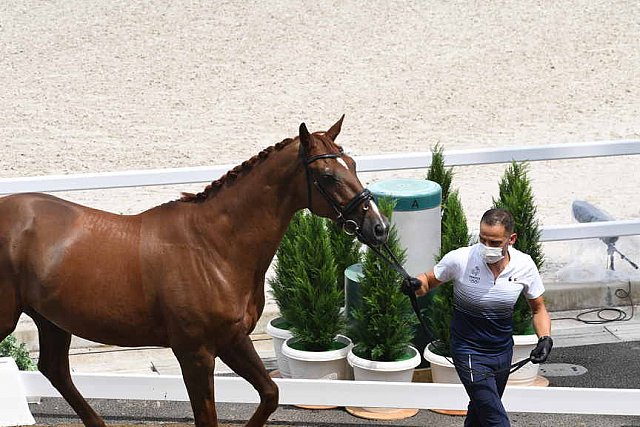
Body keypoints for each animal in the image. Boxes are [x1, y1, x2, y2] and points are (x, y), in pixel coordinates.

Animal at [0, 118, 390, 427]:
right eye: (328, 175)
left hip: (52, 320)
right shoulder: (195, 353)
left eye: (353, 164)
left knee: (54, 369)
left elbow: (270, 393)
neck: (214, 247)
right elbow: (207, 417)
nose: (378, 227)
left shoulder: (232, 340)